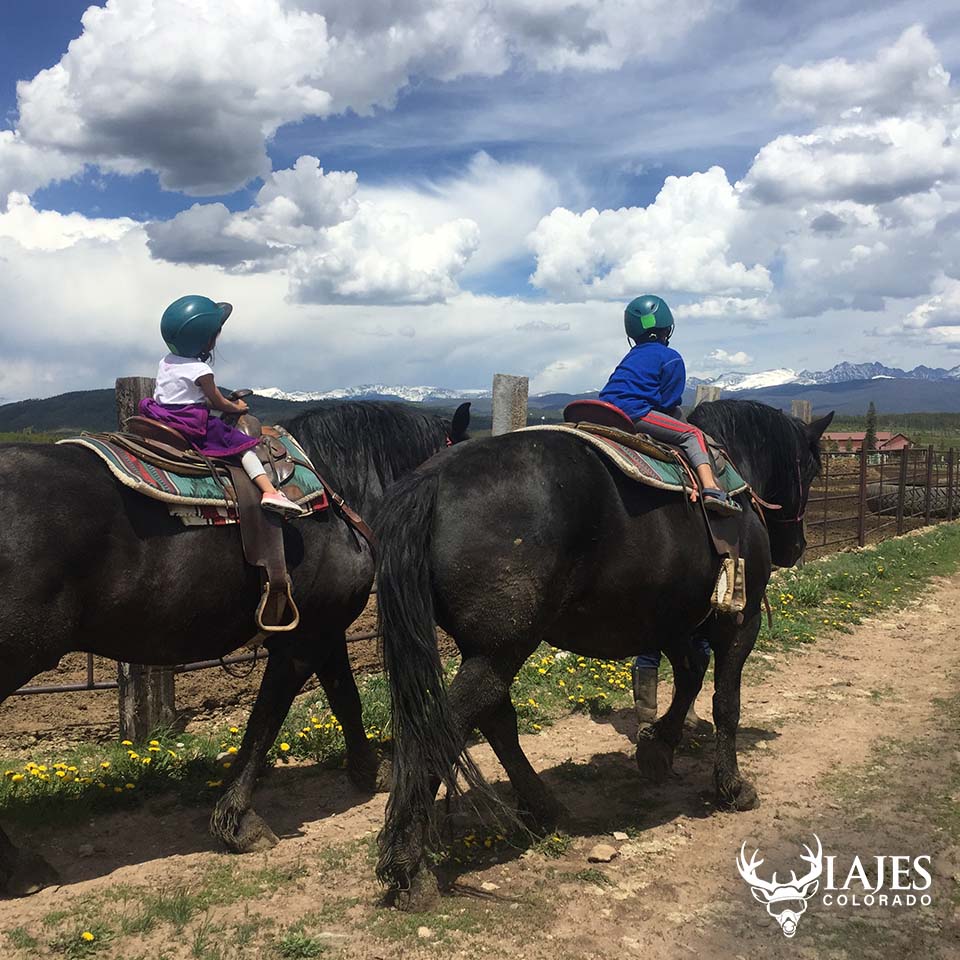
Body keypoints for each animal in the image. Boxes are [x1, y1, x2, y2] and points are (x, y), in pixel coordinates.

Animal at [0, 400, 468, 900]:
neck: (337, 489)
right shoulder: (299, 642)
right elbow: (264, 723)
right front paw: (238, 821)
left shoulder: (325, 630)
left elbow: (345, 699)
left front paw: (367, 771)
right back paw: (23, 868)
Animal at [376, 398, 832, 900]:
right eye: (812, 467)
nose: (796, 547)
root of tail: (436, 478)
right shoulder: (739, 623)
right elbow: (725, 703)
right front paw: (732, 786)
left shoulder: (670, 620)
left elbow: (690, 673)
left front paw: (658, 748)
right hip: (500, 649)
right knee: (446, 727)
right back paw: (409, 864)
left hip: (487, 650)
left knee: (495, 719)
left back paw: (544, 807)